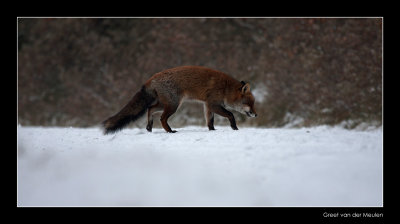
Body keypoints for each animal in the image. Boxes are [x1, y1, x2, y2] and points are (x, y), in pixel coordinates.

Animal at [101, 65, 258, 134]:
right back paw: (170, 131)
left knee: (150, 109)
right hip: (173, 105)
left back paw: (149, 127)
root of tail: (151, 78)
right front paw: (235, 128)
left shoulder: (207, 105)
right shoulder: (214, 104)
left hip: (166, 104)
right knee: (162, 118)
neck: (225, 88)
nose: (256, 115)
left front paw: (212, 130)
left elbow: (210, 121)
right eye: (249, 103)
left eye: (253, 103)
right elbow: (231, 114)